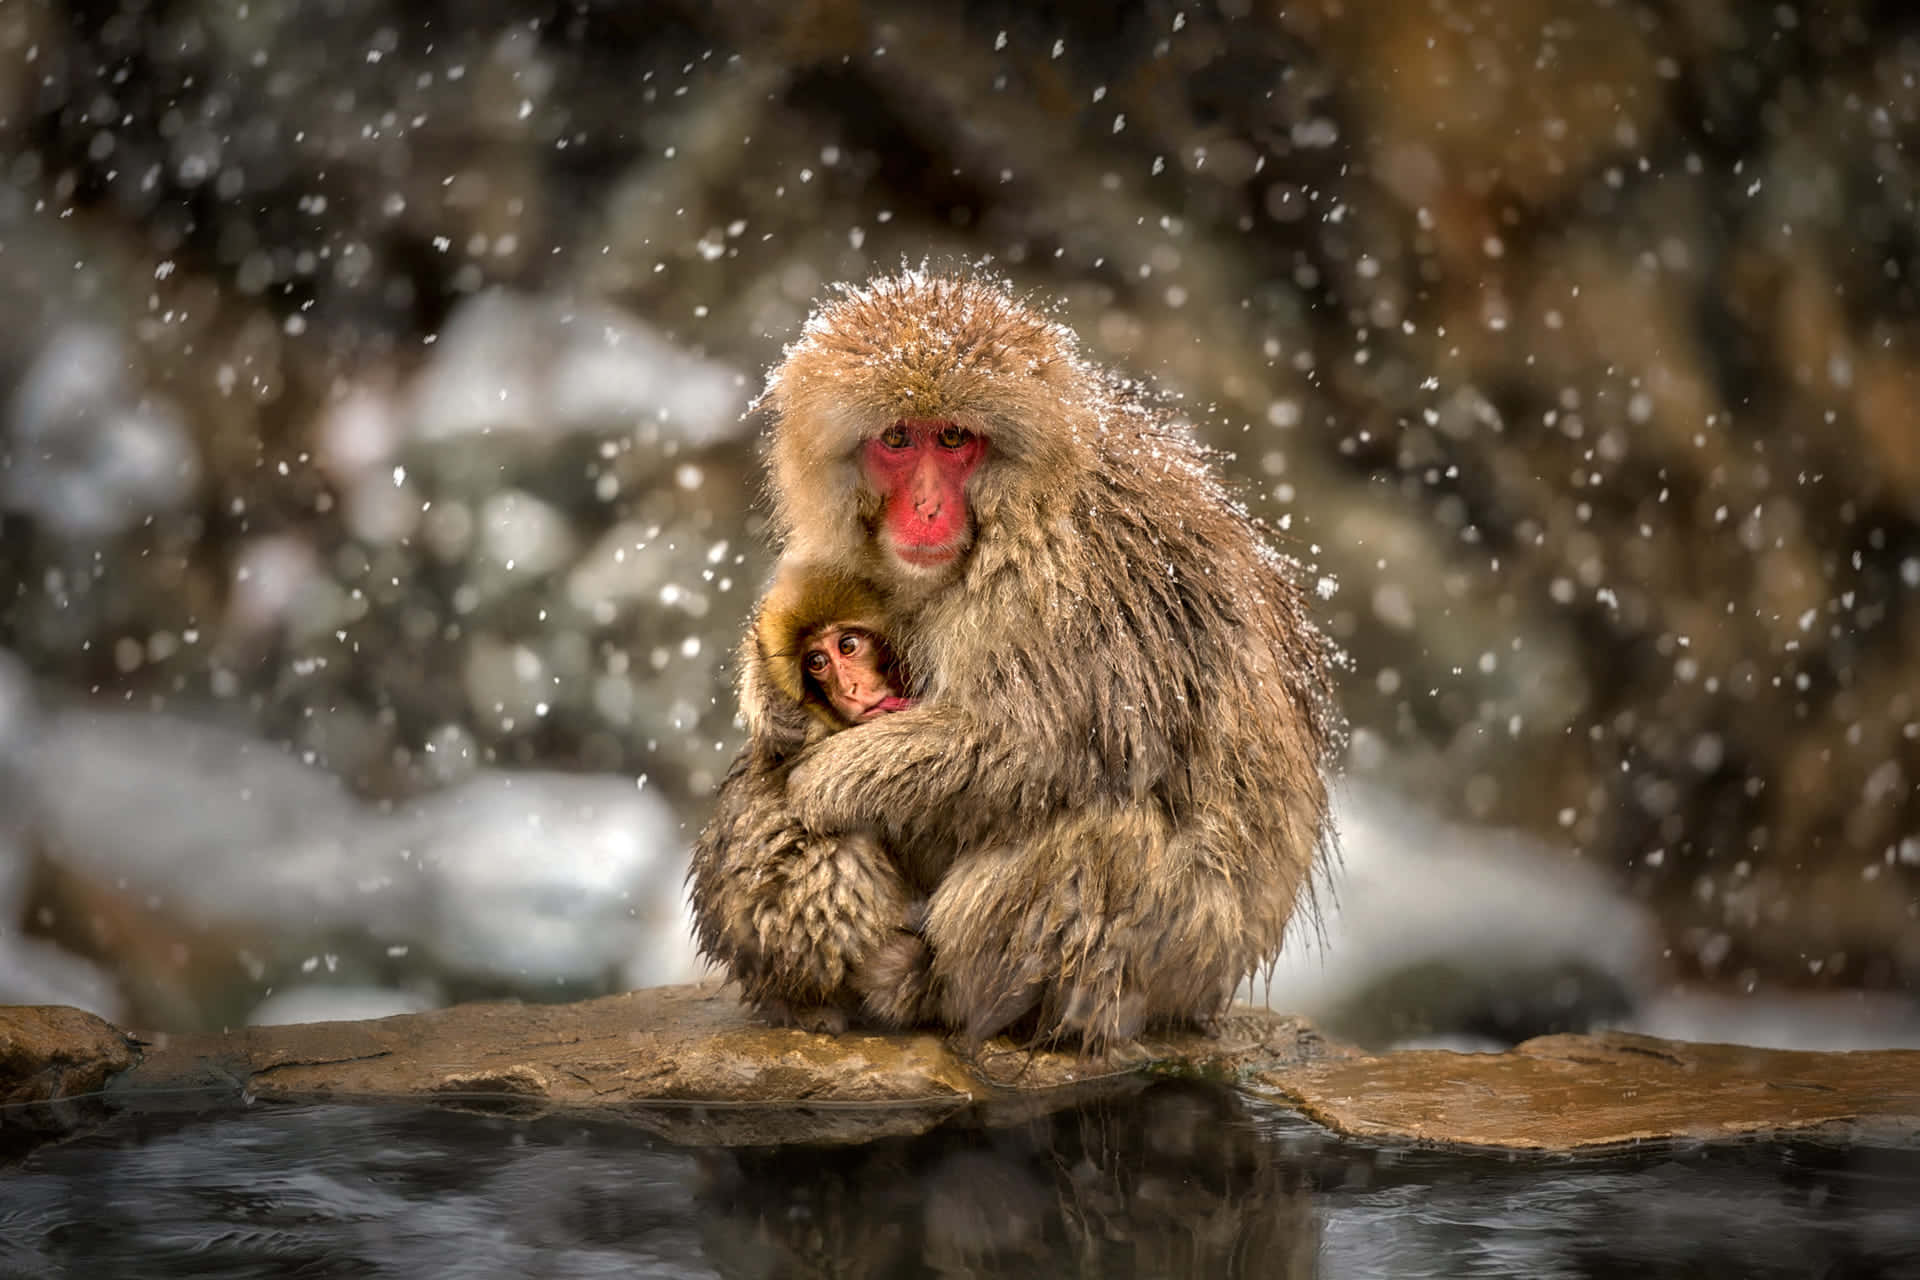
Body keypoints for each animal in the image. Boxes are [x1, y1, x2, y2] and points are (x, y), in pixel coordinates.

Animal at [689, 269, 1341, 1053]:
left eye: (954, 439)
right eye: (897, 439)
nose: (928, 509)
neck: (1018, 513)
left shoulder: (1067, 585)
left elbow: (1032, 745)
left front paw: (823, 781)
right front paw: (771, 699)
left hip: (1178, 950)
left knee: (1101, 839)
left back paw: (932, 991)